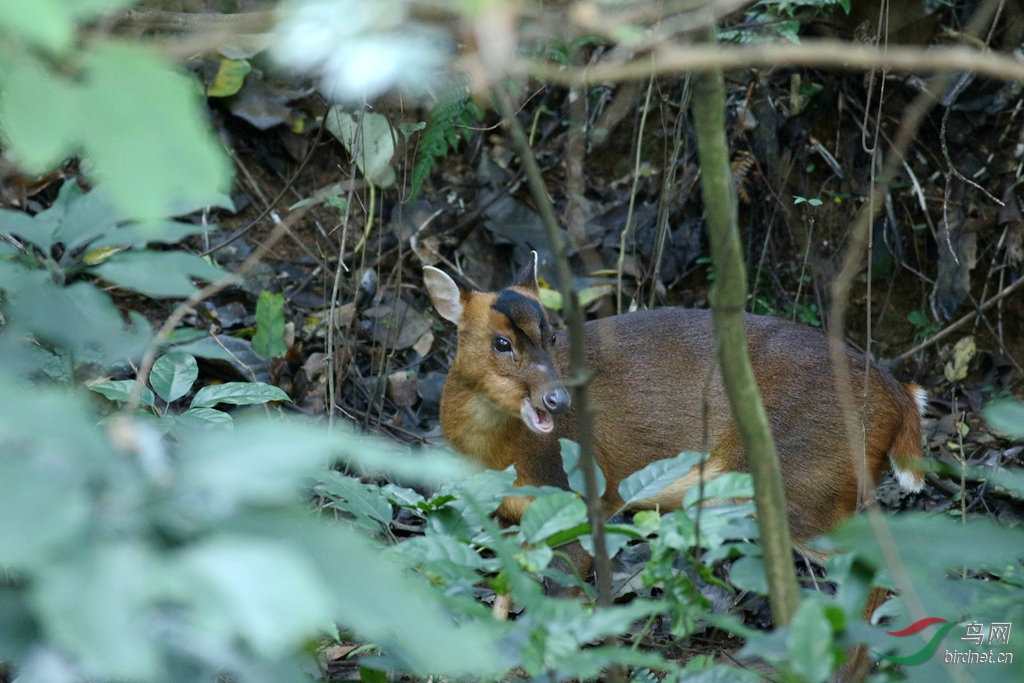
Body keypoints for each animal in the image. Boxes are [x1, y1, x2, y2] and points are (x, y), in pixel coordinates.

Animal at [423, 255, 929, 557]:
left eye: (551, 335)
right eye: (501, 342)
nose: (558, 397)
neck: (496, 458)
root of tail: (899, 394)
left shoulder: (584, 492)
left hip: (802, 475)